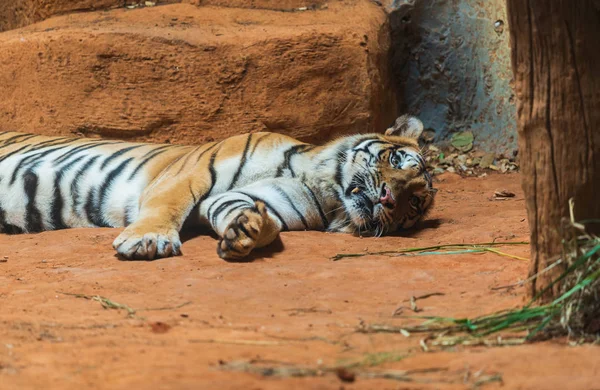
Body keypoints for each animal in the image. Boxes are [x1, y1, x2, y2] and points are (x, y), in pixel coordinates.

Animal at [0, 116, 434, 262]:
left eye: (413, 205)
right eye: (397, 161)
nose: (389, 198)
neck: (322, 186)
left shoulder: (260, 200)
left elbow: (248, 212)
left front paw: (247, 232)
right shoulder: (187, 175)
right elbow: (166, 208)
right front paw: (148, 240)